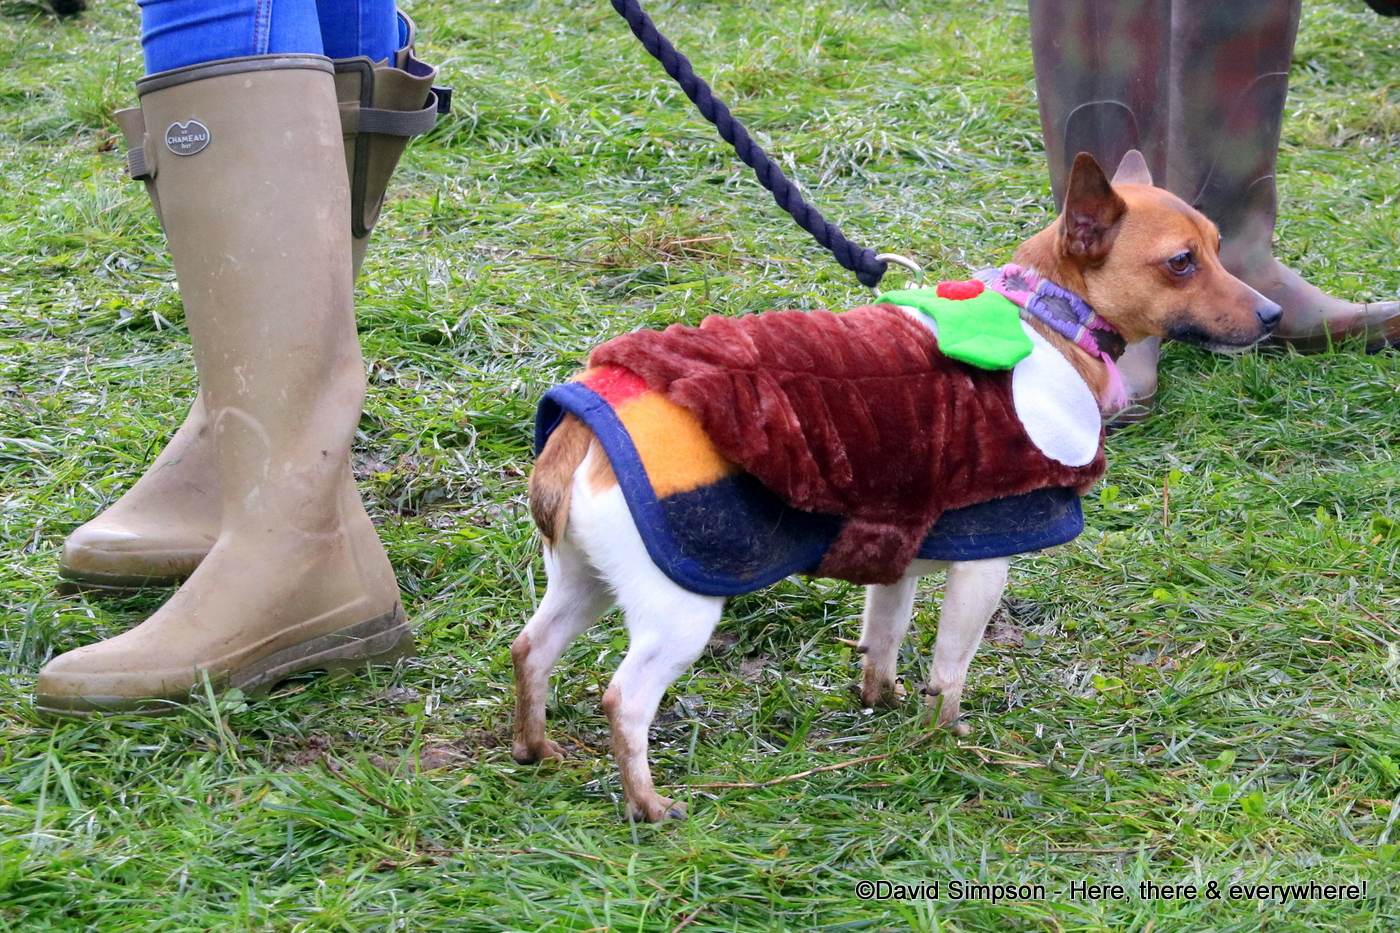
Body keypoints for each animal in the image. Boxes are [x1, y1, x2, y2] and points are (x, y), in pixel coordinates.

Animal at [511, 151, 1281, 822]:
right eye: (1181, 263)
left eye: (1219, 247)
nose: (1272, 314)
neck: (1048, 316)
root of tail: (583, 425)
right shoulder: (984, 567)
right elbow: (952, 667)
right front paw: (946, 737)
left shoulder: (897, 552)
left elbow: (883, 635)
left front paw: (880, 702)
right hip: (679, 609)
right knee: (626, 700)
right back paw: (646, 802)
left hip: (586, 583)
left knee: (532, 649)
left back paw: (534, 747)